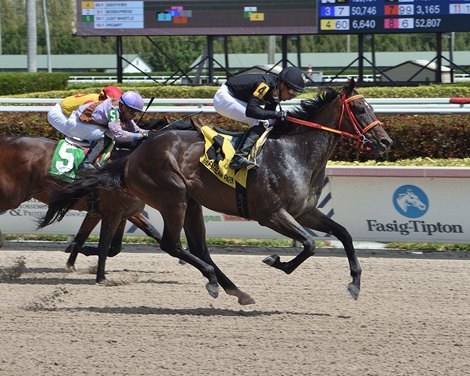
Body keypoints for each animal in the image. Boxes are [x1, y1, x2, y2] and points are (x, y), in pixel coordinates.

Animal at [39, 79, 392, 302]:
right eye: (361, 110)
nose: (386, 141)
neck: (295, 151)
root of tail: (133, 155)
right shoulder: (271, 214)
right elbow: (308, 245)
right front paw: (276, 261)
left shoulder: (304, 210)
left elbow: (343, 234)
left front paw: (355, 283)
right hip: (172, 197)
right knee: (172, 244)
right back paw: (212, 281)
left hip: (191, 202)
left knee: (198, 247)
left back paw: (237, 291)